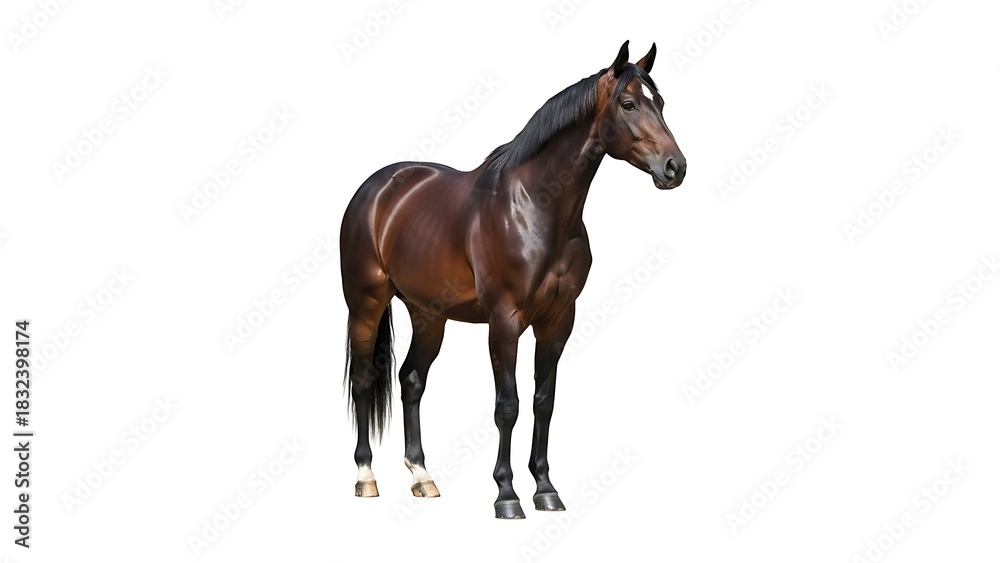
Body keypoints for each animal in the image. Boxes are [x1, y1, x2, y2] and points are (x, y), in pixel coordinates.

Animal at [340, 40, 686, 519]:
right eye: (629, 103)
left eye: (662, 103)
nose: (675, 167)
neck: (536, 208)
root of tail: (377, 188)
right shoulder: (504, 322)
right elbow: (508, 405)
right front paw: (506, 495)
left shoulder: (558, 321)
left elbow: (544, 402)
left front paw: (545, 488)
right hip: (366, 304)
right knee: (363, 380)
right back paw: (365, 477)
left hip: (429, 315)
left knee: (411, 380)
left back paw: (422, 477)